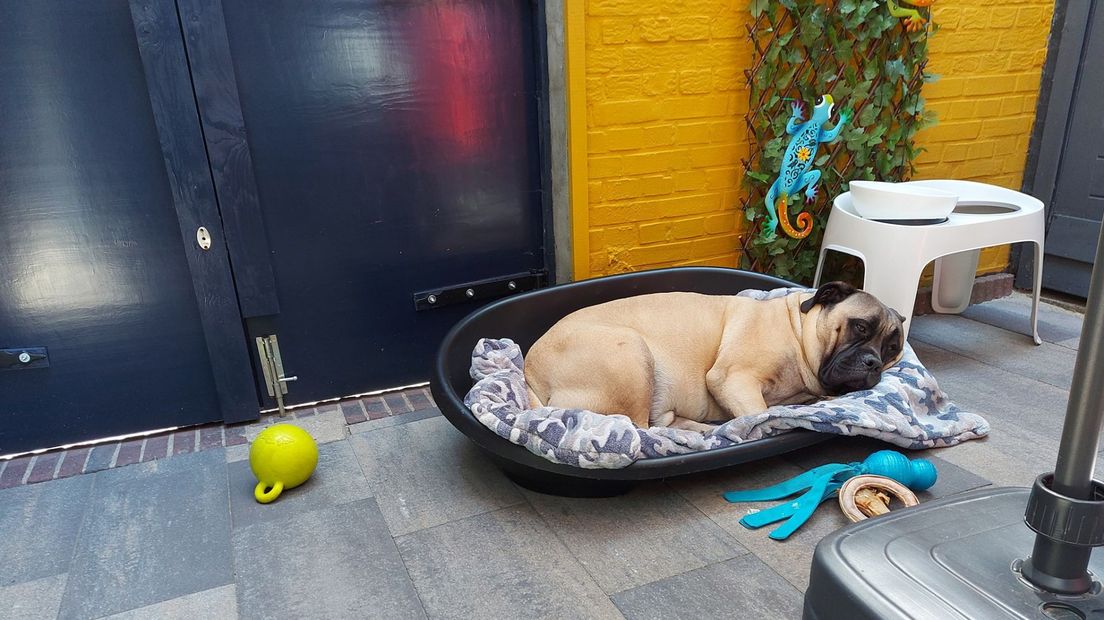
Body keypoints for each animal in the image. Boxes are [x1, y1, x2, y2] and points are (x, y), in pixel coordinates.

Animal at [523, 282, 905, 432]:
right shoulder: (735, 380)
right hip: (631, 351)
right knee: (641, 427)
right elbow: (760, 415)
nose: (873, 363)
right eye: (859, 327)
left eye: (892, 349)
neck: (799, 332)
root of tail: (530, 374)